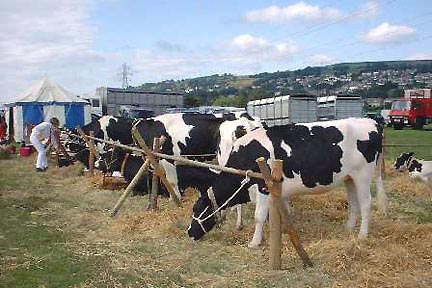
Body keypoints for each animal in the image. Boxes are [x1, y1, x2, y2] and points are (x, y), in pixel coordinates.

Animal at [187, 117, 386, 248]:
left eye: (197, 210)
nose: (189, 233)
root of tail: (372, 122)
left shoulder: (264, 187)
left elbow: (259, 216)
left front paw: (254, 242)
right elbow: (281, 212)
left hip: (363, 175)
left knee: (366, 203)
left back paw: (362, 235)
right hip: (349, 178)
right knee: (354, 203)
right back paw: (348, 229)